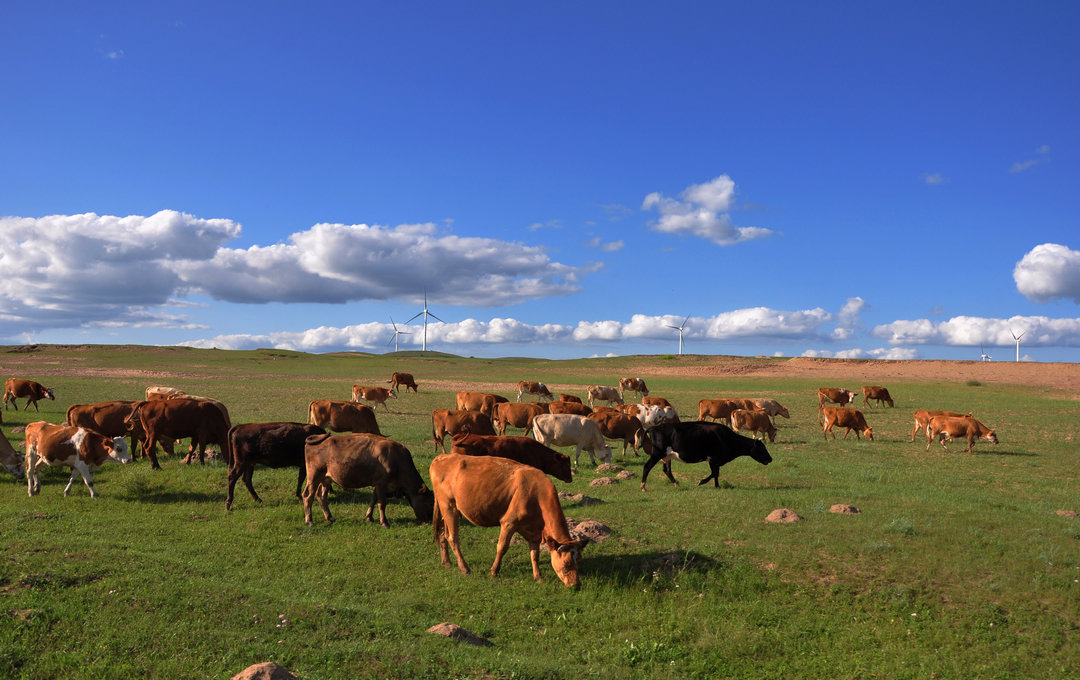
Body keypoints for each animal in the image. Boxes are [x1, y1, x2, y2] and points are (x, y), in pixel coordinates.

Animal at [302, 433, 432, 531]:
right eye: (429, 503)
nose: (430, 521)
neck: (398, 460)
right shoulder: (381, 483)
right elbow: (382, 503)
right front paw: (384, 522)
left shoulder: (377, 485)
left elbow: (373, 500)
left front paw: (369, 517)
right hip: (314, 476)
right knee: (308, 496)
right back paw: (309, 521)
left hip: (325, 479)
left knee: (321, 496)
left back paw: (329, 517)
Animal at [427, 455, 587, 587]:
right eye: (566, 563)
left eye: (579, 560)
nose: (576, 585)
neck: (537, 494)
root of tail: (442, 457)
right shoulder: (509, 523)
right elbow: (502, 547)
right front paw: (494, 571)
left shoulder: (534, 530)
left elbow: (534, 554)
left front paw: (538, 576)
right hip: (449, 506)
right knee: (452, 537)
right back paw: (464, 568)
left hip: (445, 508)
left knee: (442, 532)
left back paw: (447, 562)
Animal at [635, 420, 773, 490]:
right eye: (762, 449)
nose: (770, 459)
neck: (727, 438)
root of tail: (654, 428)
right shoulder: (713, 459)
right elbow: (715, 473)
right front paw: (702, 482)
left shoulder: (714, 460)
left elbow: (716, 474)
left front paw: (716, 486)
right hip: (657, 454)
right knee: (647, 467)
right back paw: (643, 487)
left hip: (667, 456)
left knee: (667, 470)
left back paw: (676, 484)